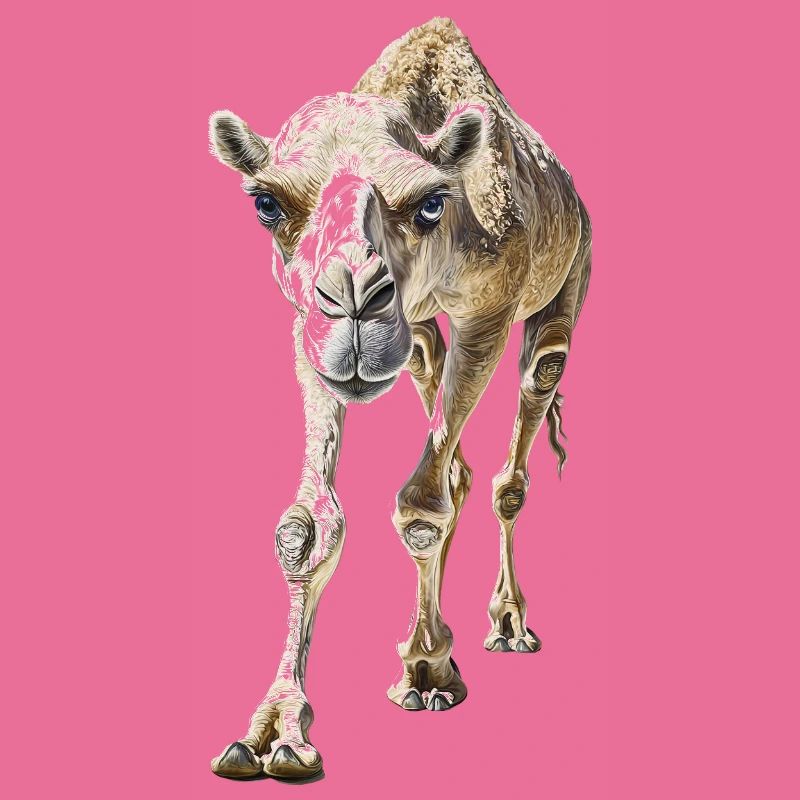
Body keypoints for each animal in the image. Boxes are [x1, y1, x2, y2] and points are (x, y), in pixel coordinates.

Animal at [208, 17, 591, 780]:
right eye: (266, 204)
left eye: (430, 202)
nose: (354, 300)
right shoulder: (307, 328)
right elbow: (307, 525)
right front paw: (272, 731)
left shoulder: (488, 314)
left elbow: (420, 506)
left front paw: (427, 674)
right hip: (415, 337)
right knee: (452, 448)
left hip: (570, 278)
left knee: (528, 411)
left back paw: (507, 626)